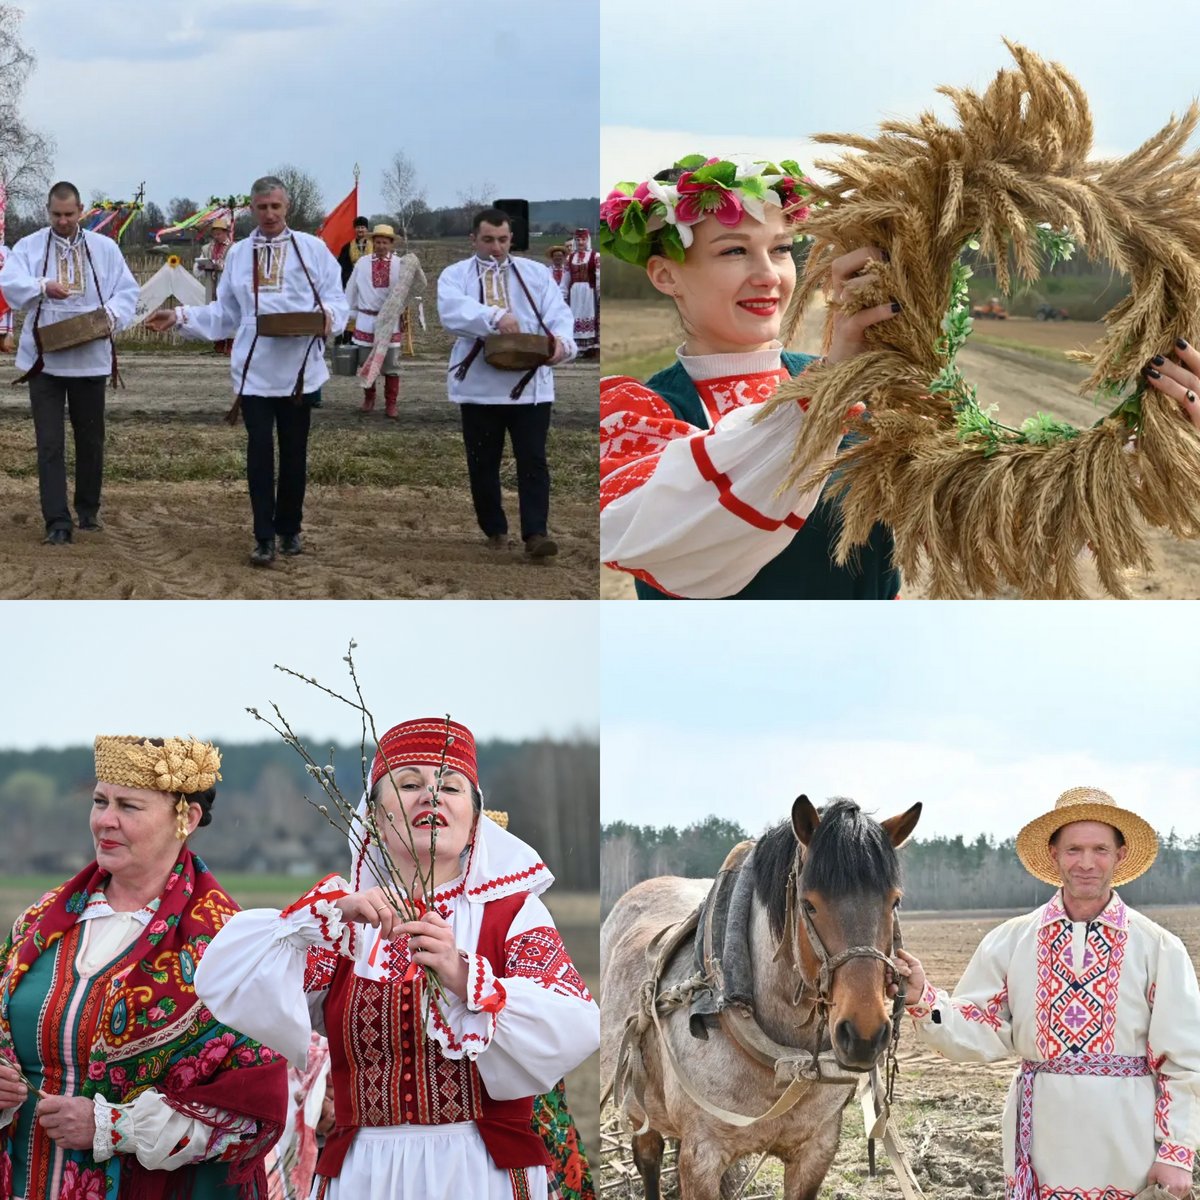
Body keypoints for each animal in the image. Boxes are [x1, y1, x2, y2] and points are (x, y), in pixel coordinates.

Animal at [604, 796, 921, 1200]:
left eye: (894, 902)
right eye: (809, 904)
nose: (864, 1035)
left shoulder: (817, 1149)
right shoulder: (701, 1155)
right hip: (637, 1107)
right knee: (649, 1157)